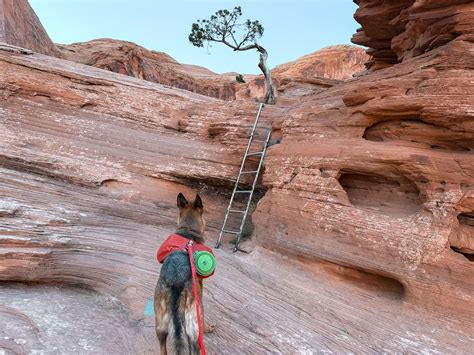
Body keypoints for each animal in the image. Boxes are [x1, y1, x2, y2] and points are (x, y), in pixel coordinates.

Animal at [154, 195, 213, 355]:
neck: (188, 232)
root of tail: (176, 284)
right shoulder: (200, 286)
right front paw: (208, 328)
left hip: (160, 324)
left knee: (163, 348)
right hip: (194, 326)